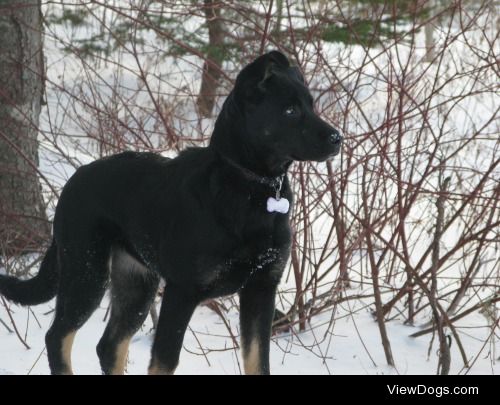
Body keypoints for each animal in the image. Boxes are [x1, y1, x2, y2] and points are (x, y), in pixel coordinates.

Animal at [0, 51, 342, 376]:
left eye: (311, 105)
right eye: (290, 111)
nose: (337, 138)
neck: (248, 185)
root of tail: (72, 182)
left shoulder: (261, 289)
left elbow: (259, 362)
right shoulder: (182, 290)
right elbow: (164, 361)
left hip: (136, 283)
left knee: (108, 346)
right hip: (86, 272)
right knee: (57, 337)